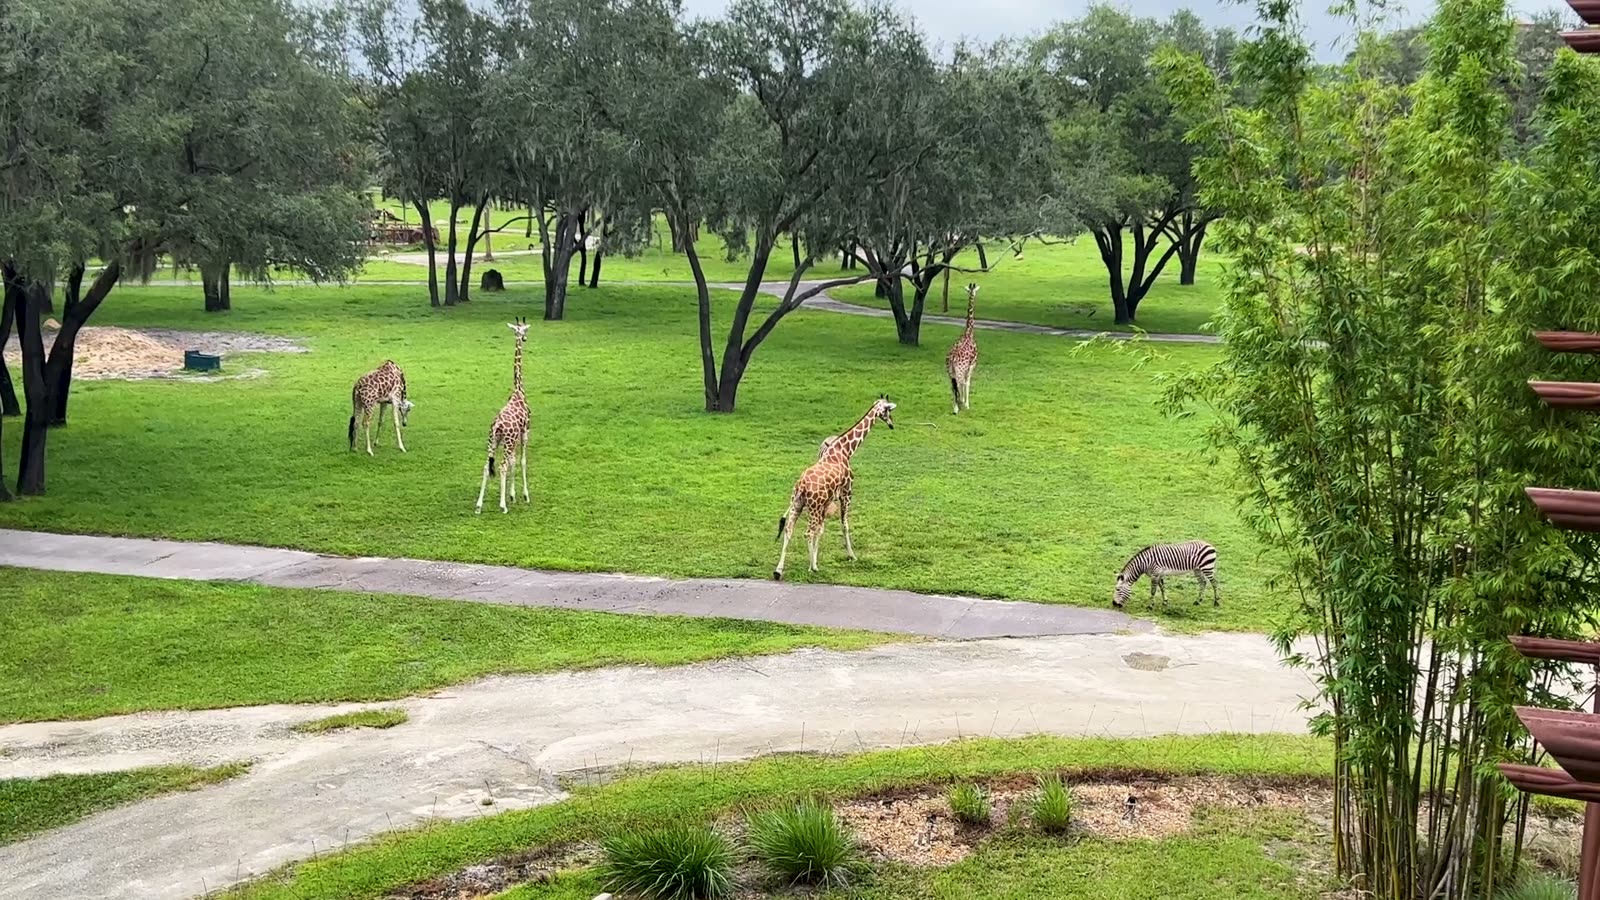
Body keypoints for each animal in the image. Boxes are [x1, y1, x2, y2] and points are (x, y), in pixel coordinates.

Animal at [475, 318, 532, 514]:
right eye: (523, 330)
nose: (525, 338)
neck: (518, 390)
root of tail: (498, 425)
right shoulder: (525, 432)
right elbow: (521, 461)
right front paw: (524, 496)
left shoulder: (514, 438)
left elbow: (514, 461)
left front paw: (512, 495)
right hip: (506, 441)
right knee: (501, 466)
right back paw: (502, 506)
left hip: (492, 441)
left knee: (487, 465)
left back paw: (478, 505)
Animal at [775, 395, 897, 580]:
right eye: (888, 410)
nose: (891, 424)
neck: (845, 450)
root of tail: (801, 486)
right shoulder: (847, 494)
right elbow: (844, 525)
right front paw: (851, 556)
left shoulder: (827, 501)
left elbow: (821, 530)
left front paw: (816, 560)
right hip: (813, 506)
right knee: (807, 532)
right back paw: (811, 568)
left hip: (798, 503)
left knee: (789, 530)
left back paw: (778, 570)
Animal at [946, 283, 979, 414]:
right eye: (973, 291)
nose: (973, 293)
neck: (969, 333)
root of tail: (952, 358)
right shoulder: (972, 364)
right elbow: (967, 383)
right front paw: (967, 404)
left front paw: (963, 403)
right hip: (959, 370)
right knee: (959, 383)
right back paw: (958, 406)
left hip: (950, 371)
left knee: (953, 385)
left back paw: (955, 407)